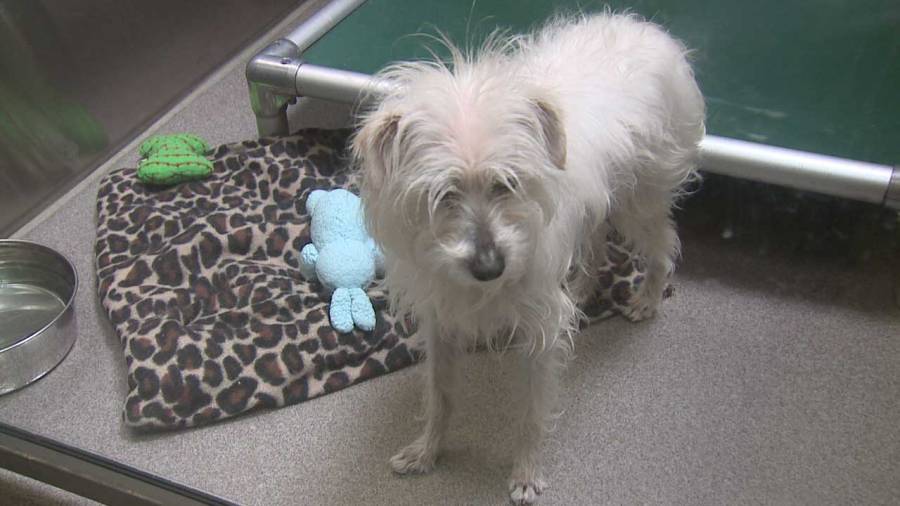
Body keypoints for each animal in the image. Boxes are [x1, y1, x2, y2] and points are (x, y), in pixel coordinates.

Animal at [350, 12, 704, 506]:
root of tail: (650, 31)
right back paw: (582, 289)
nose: (490, 268)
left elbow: (531, 412)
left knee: (663, 246)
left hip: (639, 201)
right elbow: (439, 394)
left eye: (506, 184)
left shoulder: (541, 332)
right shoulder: (441, 320)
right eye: (443, 195)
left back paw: (648, 298)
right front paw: (427, 451)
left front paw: (526, 472)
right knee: (594, 242)